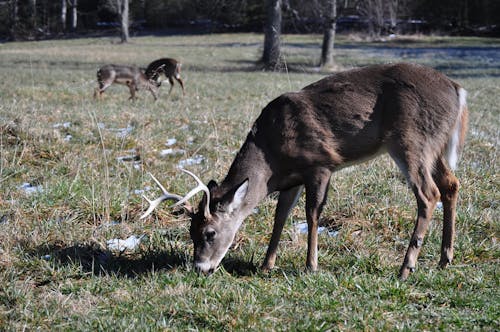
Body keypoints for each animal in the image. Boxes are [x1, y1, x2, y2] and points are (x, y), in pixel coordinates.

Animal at [139, 63, 466, 280]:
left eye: (209, 232)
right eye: (190, 231)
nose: (201, 268)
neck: (271, 153)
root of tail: (458, 90)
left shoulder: (319, 163)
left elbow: (312, 214)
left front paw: (311, 265)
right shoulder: (291, 180)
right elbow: (280, 216)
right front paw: (266, 265)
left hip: (410, 141)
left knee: (428, 193)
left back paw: (406, 267)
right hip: (434, 146)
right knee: (451, 184)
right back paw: (445, 259)